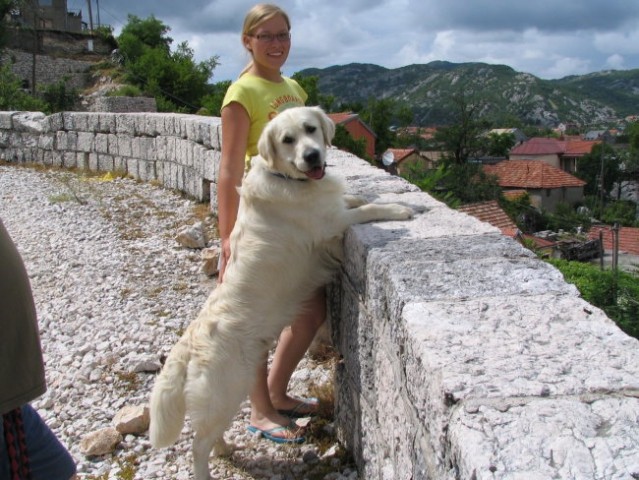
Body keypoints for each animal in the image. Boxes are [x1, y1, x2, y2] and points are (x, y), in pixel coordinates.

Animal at [148, 107, 412, 478]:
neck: (289, 178)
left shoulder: (331, 205)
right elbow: (364, 210)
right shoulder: (330, 223)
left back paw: (227, 449)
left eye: (310, 129)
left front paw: (375, 197)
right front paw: (399, 209)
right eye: (287, 140)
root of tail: (188, 345)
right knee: (197, 445)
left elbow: (353, 199)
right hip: (225, 391)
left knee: (207, 436)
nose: (312, 156)